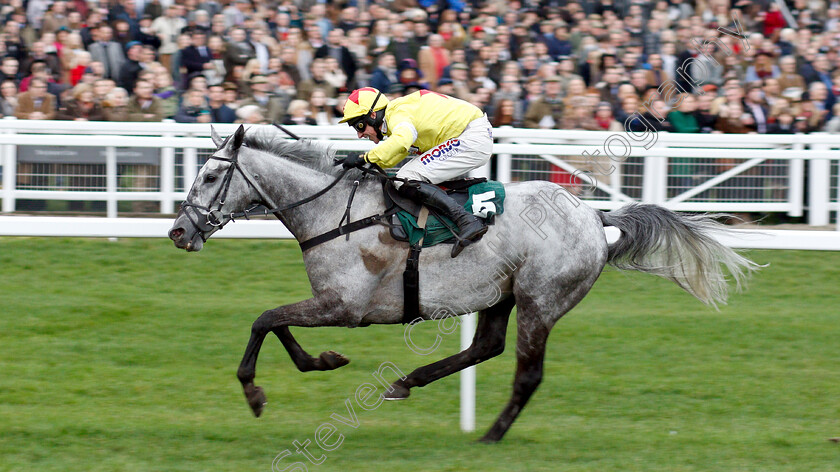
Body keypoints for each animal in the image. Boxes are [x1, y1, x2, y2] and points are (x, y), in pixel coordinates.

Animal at [167, 124, 756, 442]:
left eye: (212, 175)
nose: (178, 232)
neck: (335, 211)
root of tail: (594, 218)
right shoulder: (332, 303)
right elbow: (276, 322)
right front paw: (321, 361)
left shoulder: (344, 305)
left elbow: (265, 319)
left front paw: (256, 392)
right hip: (502, 294)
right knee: (485, 347)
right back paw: (408, 381)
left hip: (541, 301)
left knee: (526, 374)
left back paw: (492, 434)